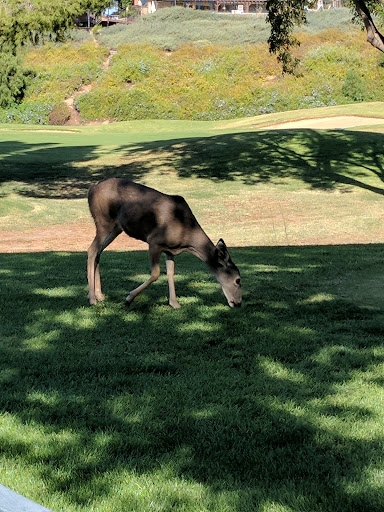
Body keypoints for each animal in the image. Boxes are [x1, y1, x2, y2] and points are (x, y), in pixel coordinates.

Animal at [88, 179, 242, 308]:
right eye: (238, 280)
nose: (238, 303)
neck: (187, 236)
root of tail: (92, 189)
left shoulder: (170, 250)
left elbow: (171, 273)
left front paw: (174, 303)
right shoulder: (154, 241)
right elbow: (156, 273)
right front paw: (129, 298)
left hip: (116, 228)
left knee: (99, 252)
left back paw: (99, 295)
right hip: (103, 221)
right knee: (91, 250)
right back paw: (92, 299)